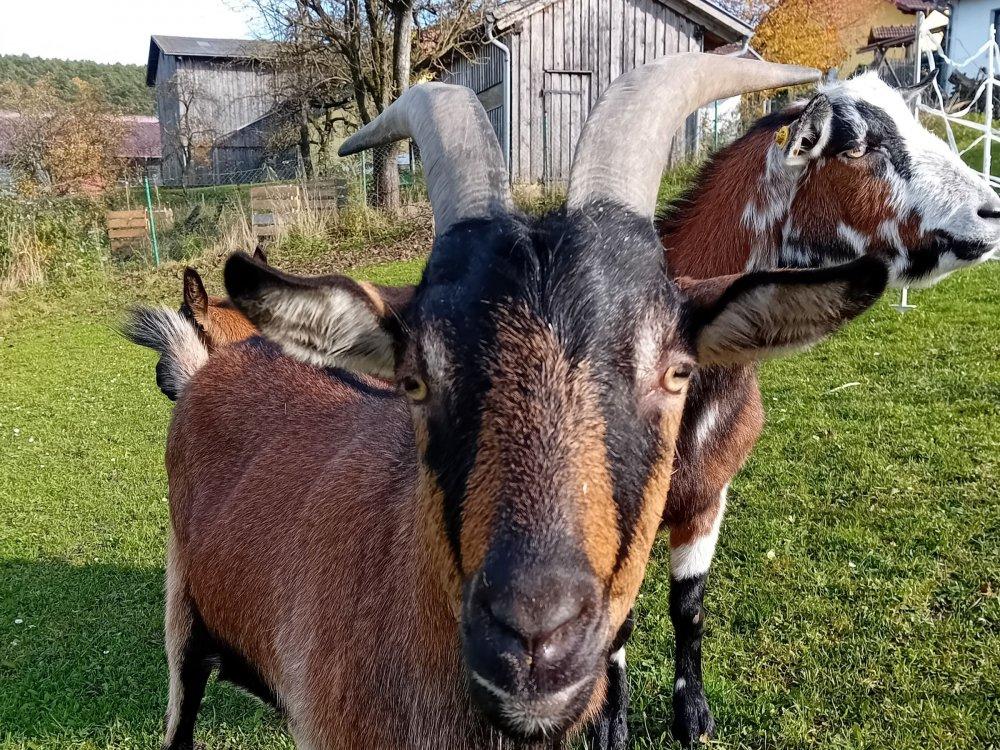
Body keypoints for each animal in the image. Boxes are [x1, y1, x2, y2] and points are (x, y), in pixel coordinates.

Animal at [588, 72, 1000, 747]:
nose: (990, 212)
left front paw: (693, 717)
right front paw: (608, 728)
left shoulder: (711, 495)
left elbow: (688, 606)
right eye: (854, 145)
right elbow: (614, 622)